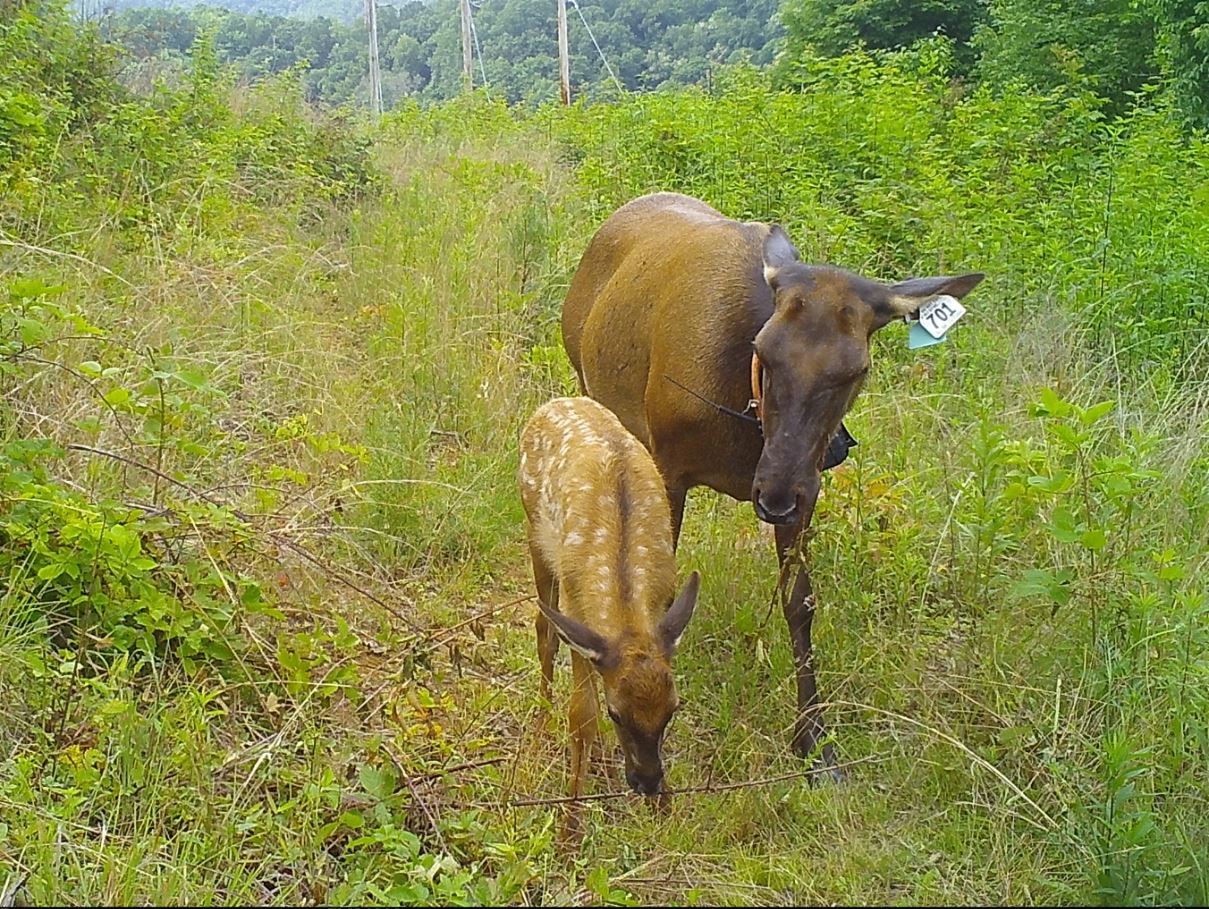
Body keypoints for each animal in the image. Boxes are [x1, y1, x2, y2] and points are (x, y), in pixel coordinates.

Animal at [518, 396, 700, 841]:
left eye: (673, 709)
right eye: (618, 714)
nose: (648, 782)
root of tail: (557, 401)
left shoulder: (663, 602)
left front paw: (666, 809)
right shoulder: (575, 608)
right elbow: (581, 716)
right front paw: (569, 829)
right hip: (535, 536)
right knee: (544, 632)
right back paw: (541, 724)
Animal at [561, 191, 985, 779]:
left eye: (857, 369)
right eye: (764, 348)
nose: (774, 493)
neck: (745, 425)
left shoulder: (809, 488)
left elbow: (800, 602)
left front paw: (814, 741)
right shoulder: (669, 466)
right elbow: (657, 597)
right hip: (591, 386)